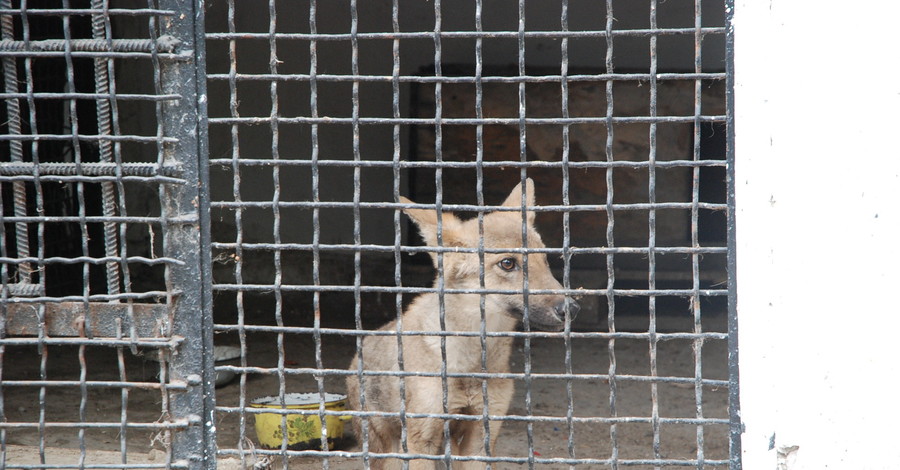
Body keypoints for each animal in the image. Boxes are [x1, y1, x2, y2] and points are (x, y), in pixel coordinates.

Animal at [342, 178, 580, 468]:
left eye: (544, 260)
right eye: (508, 263)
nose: (571, 309)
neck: (470, 366)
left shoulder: (480, 435)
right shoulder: (422, 440)